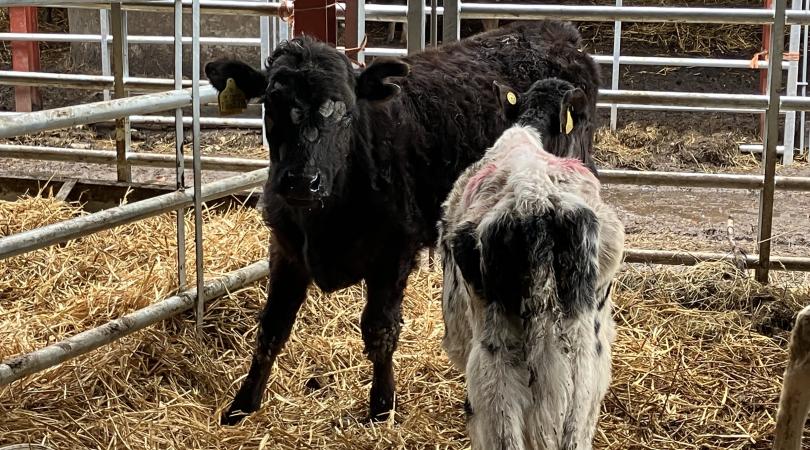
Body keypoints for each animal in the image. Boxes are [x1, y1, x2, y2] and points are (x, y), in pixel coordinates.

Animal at [204, 20, 600, 425]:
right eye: (272, 105)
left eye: (346, 110)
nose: (301, 181)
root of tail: (555, 30)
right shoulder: (286, 252)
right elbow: (272, 328)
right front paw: (242, 405)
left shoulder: (393, 254)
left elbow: (380, 331)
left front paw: (382, 405)